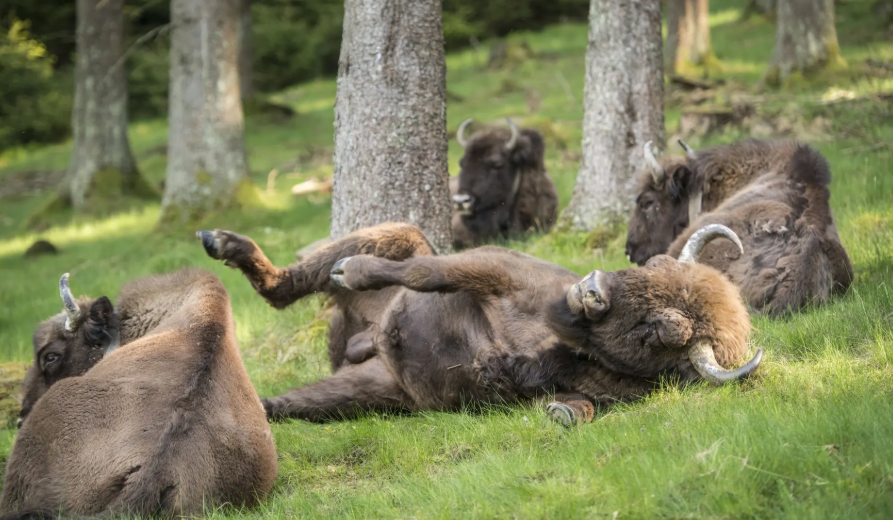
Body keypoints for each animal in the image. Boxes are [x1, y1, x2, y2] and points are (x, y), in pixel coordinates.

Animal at [198, 222, 761, 426]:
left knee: (284, 404)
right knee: (284, 286)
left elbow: (579, 406)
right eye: (652, 266)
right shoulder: (492, 270)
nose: (592, 288)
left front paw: (561, 412)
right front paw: (354, 269)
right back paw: (223, 242)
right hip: (394, 236)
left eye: (664, 330)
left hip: (376, 389)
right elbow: (429, 272)